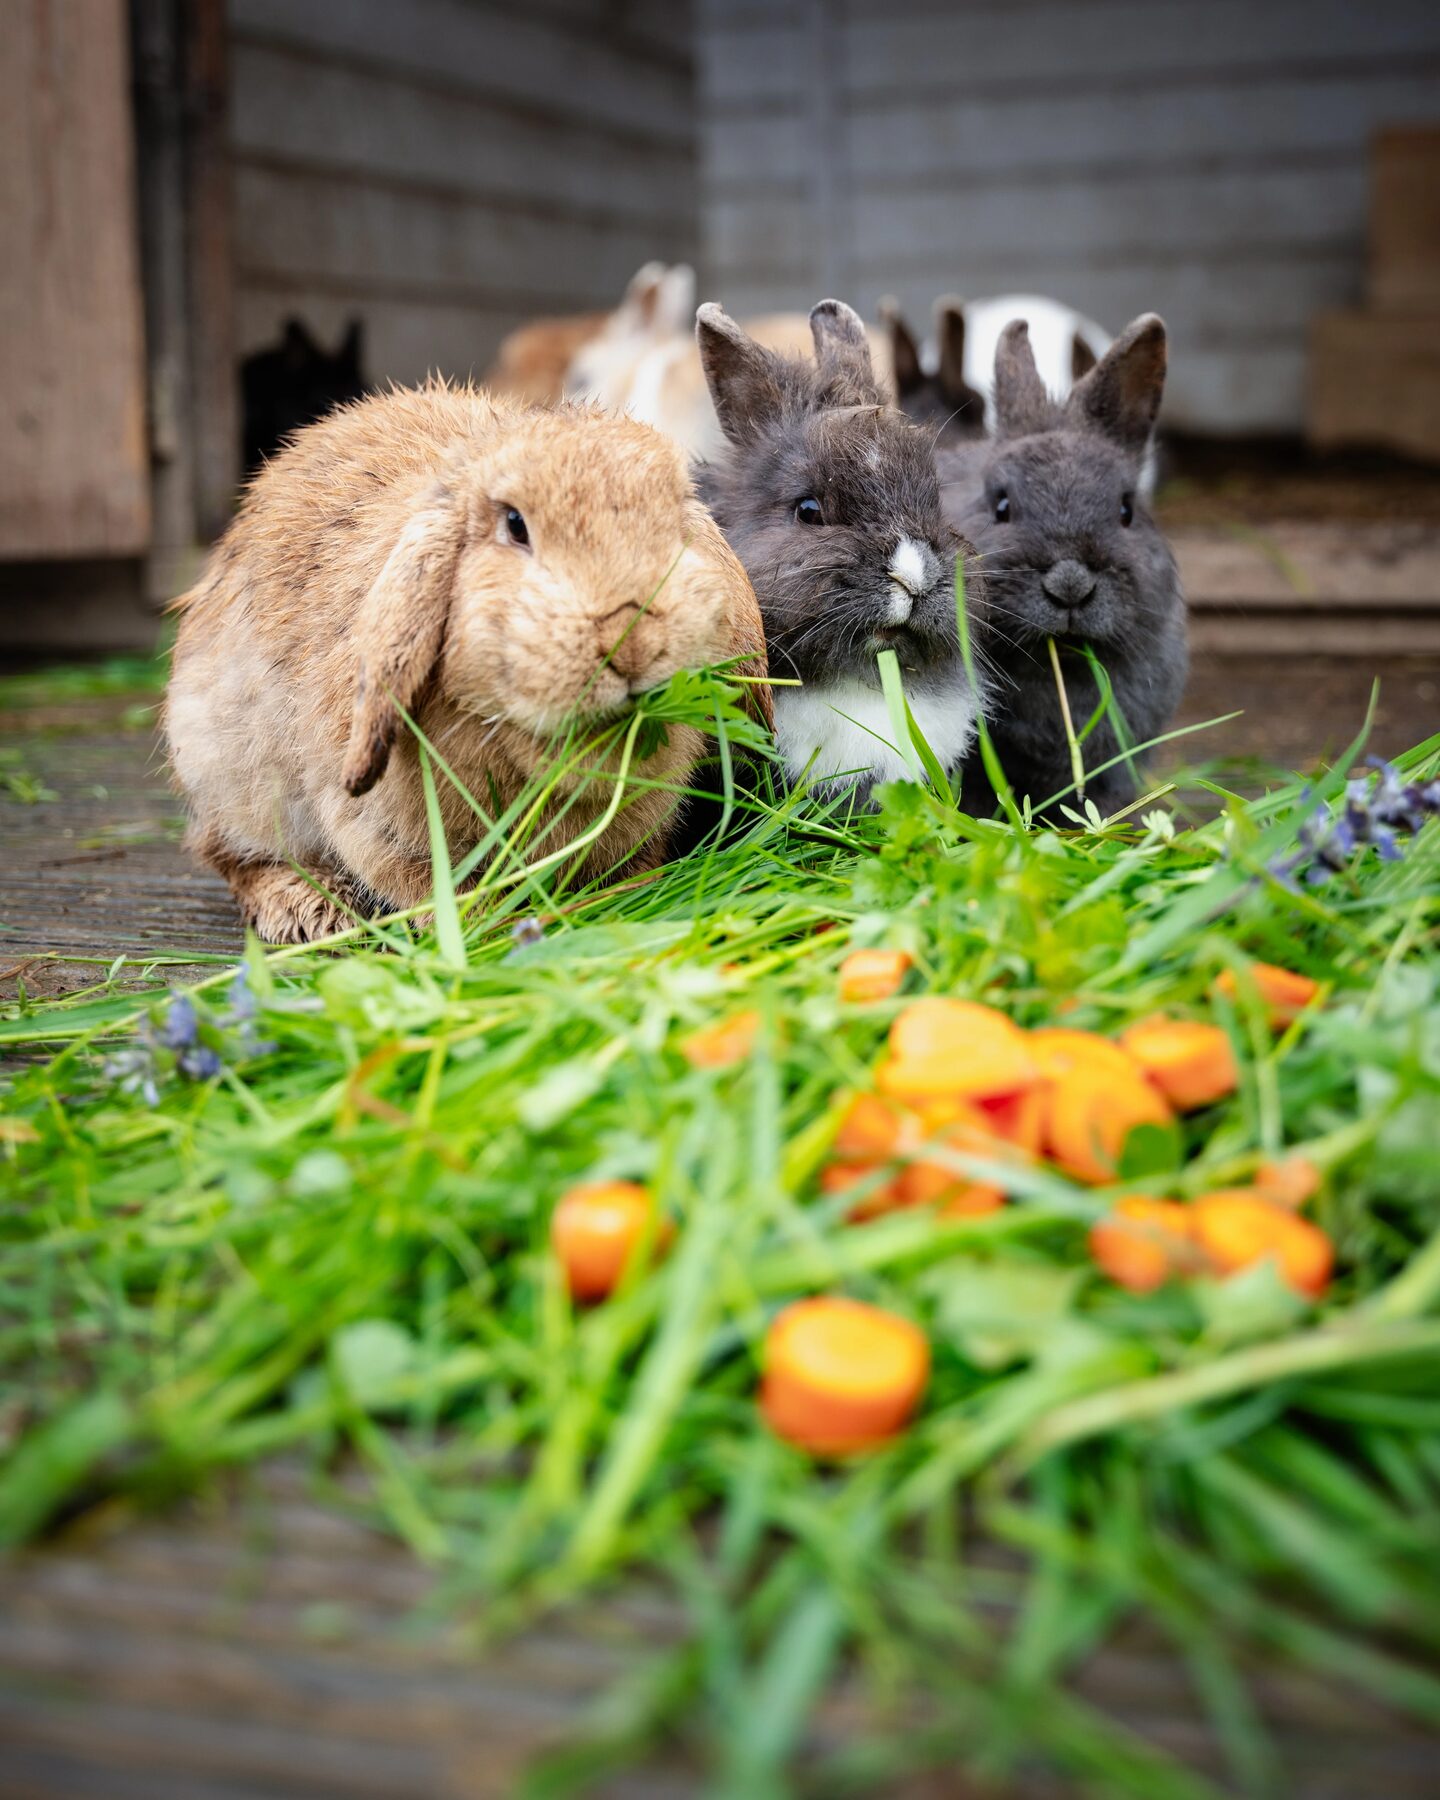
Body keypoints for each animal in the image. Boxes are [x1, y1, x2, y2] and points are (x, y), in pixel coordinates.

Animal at [166, 382, 771, 944]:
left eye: (675, 525)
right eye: (515, 525)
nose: (630, 639)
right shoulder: (372, 827)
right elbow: (427, 885)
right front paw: (488, 929)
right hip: (226, 772)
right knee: (231, 856)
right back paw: (309, 912)